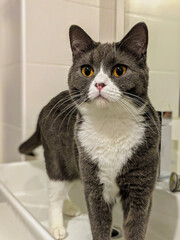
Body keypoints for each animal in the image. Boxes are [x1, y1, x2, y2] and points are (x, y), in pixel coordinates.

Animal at [19, 21, 160, 239]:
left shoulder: (141, 185)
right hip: (59, 158)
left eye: (119, 70)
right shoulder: (94, 185)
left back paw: (69, 207)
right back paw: (57, 226)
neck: (110, 127)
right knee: (55, 191)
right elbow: (98, 222)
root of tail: (46, 106)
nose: (99, 84)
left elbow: (137, 223)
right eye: (87, 71)